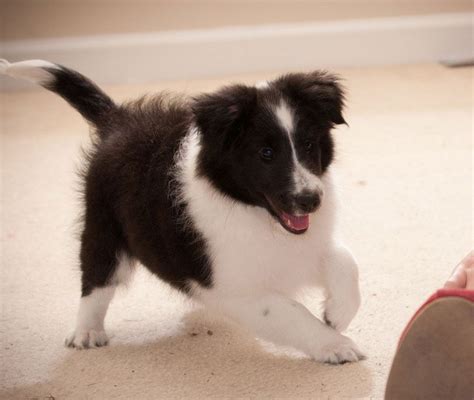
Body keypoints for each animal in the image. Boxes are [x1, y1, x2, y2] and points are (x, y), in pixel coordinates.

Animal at [1, 60, 362, 366]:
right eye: (266, 153)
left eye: (309, 145)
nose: (311, 200)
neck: (258, 217)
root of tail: (118, 121)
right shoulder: (237, 288)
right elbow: (293, 313)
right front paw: (335, 344)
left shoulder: (306, 247)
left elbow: (346, 262)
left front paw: (336, 315)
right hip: (103, 227)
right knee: (96, 279)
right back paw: (87, 332)